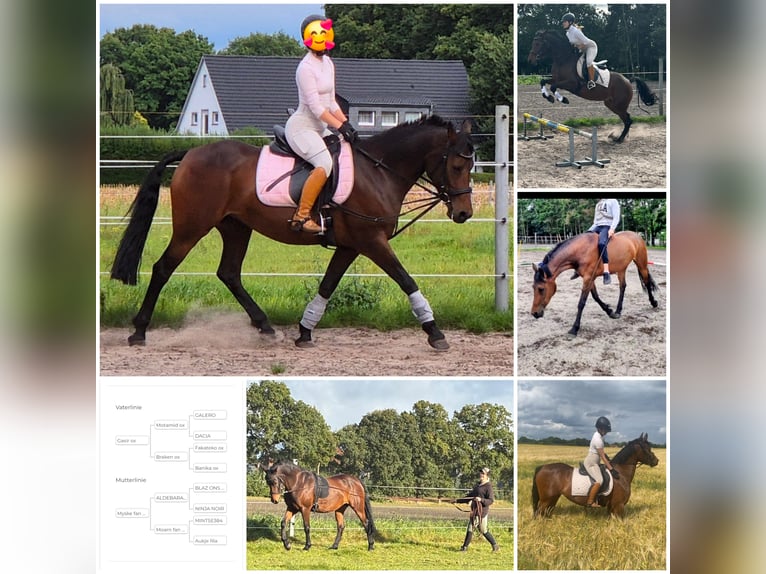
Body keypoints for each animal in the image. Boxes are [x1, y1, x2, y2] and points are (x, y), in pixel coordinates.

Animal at [110, 115, 474, 350]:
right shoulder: (372, 241)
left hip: (236, 227)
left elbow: (327, 286)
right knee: (163, 268)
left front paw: (304, 332)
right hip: (192, 227)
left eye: (471, 165)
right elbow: (406, 280)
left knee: (229, 273)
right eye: (457, 165)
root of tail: (191, 153)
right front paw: (435, 333)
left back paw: (266, 327)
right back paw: (139, 332)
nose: (463, 213)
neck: (379, 171)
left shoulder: (350, 246)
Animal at [527, 29, 659, 143]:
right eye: (533, 42)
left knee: (628, 120)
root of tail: (628, 80)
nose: (530, 60)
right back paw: (619, 137)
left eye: (538, 43)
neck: (563, 60)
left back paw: (619, 139)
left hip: (619, 105)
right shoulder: (555, 79)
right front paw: (548, 97)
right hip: (611, 104)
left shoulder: (572, 84)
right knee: (627, 119)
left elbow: (553, 87)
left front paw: (563, 99)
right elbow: (543, 81)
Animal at [531, 230, 659, 336]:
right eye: (533, 287)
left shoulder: (588, 278)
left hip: (641, 264)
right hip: (621, 269)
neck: (581, 251)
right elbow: (596, 297)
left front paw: (574, 328)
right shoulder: (589, 279)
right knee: (623, 287)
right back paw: (618, 311)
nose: (534, 313)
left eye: (541, 288)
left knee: (647, 282)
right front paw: (610, 311)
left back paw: (653, 303)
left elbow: (581, 303)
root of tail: (637, 236)